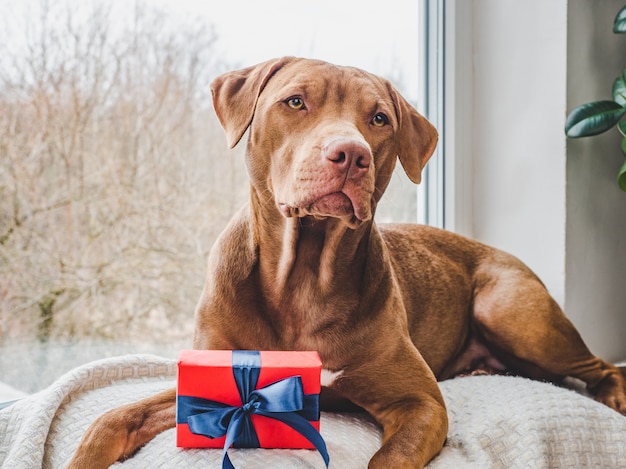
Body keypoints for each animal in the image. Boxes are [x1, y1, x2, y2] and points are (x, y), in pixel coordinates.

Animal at [68, 58, 624, 468]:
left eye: (379, 118)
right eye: (295, 101)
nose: (351, 154)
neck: (304, 276)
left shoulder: (420, 404)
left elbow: (388, 457)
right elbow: (115, 417)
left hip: (511, 311)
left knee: (597, 365)